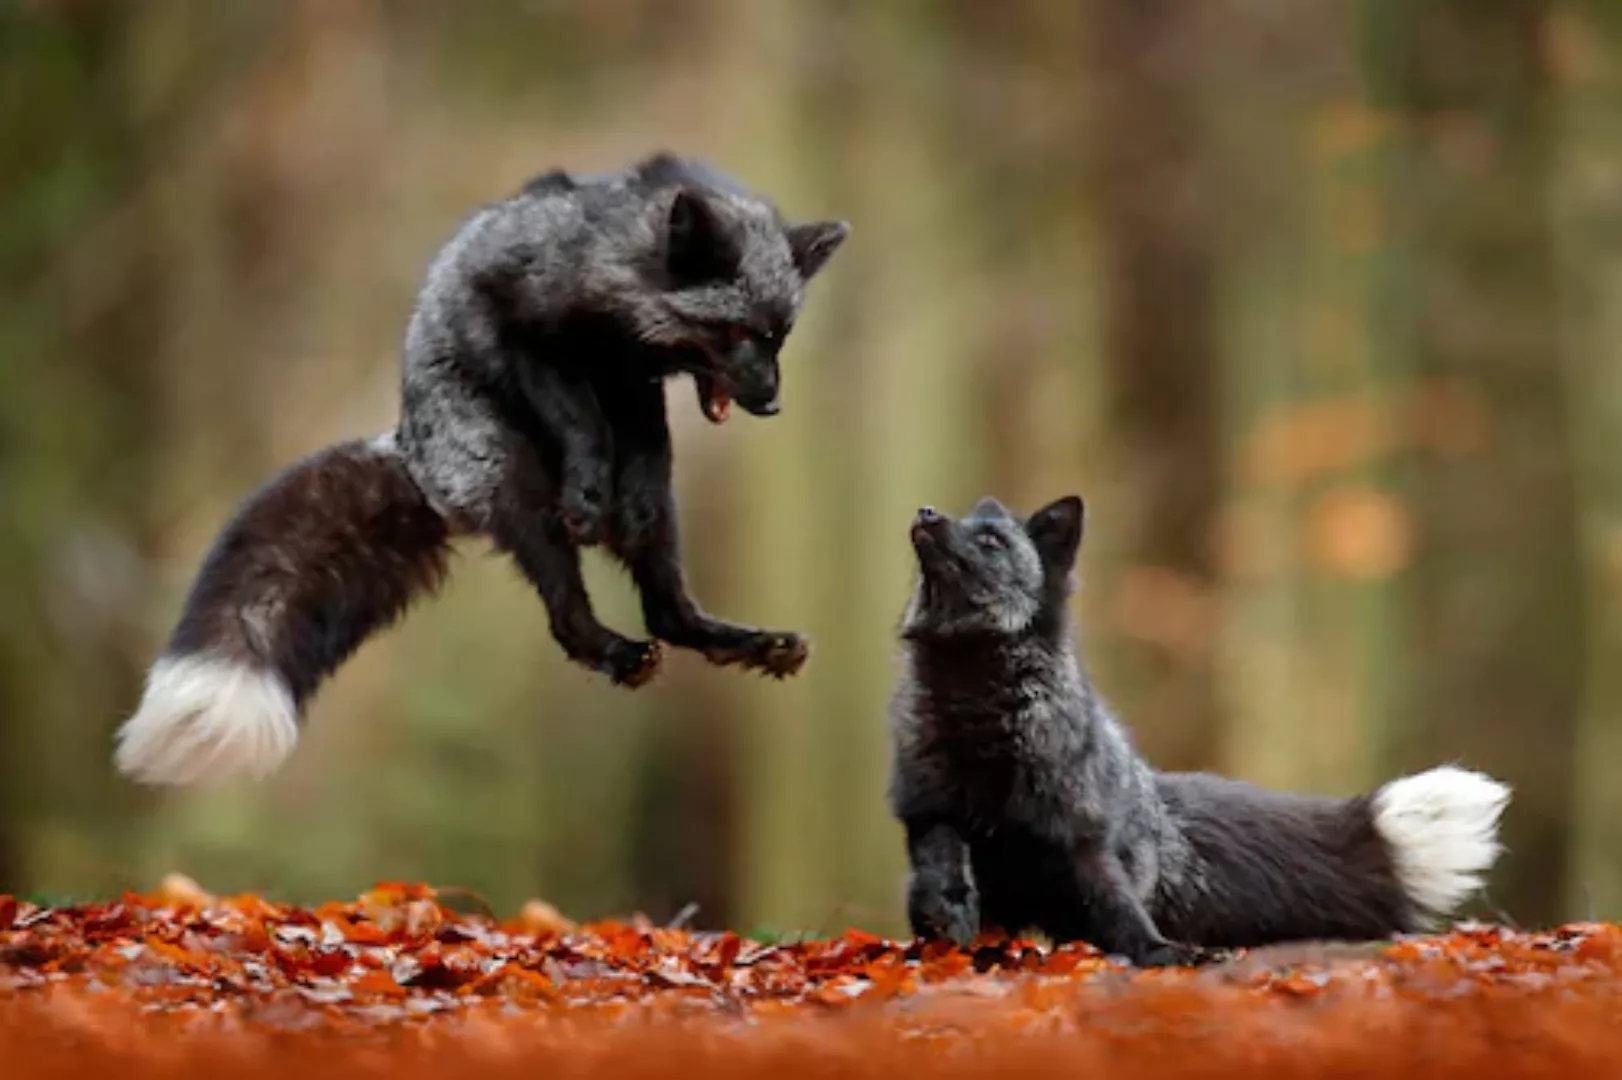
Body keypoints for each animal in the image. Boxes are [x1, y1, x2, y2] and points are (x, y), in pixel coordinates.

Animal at [114, 153, 849, 781]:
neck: (608, 268)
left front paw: (618, 490)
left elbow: (638, 445)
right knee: (568, 620)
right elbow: (580, 421)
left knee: (668, 610)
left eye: (779, 336)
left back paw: (749, 643)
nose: (772, 402)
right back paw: (614, 647)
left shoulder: (634, 390)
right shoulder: (527, 336)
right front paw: (589, 487)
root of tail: (409, 448)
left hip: (660, 520)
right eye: (737, 333)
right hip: (519, 493)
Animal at [888, 492, 1505, 960]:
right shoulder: (928, 807)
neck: (975, 707)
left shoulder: (1083, 835)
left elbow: (1116, 905)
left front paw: (1159, 953)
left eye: (992, 541)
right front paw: (947, 913)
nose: (925, 512)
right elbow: (942, 857)